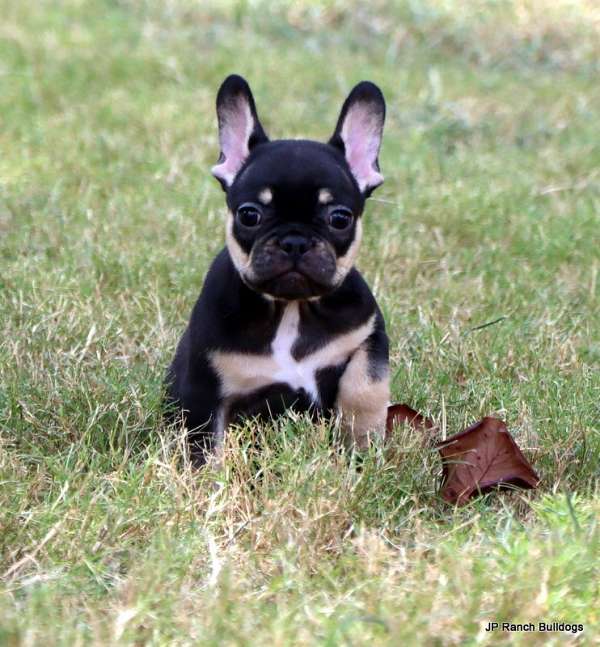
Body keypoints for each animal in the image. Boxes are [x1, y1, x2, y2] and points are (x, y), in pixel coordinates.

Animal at [165, 74, 390, 466]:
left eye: (340, 218)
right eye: (249, 214)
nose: (294, 241)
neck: (290, 307)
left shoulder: (368, 333)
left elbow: (365, 384)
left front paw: (362, 443)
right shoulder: (205, 388)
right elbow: (204, 442)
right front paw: (207, 478)